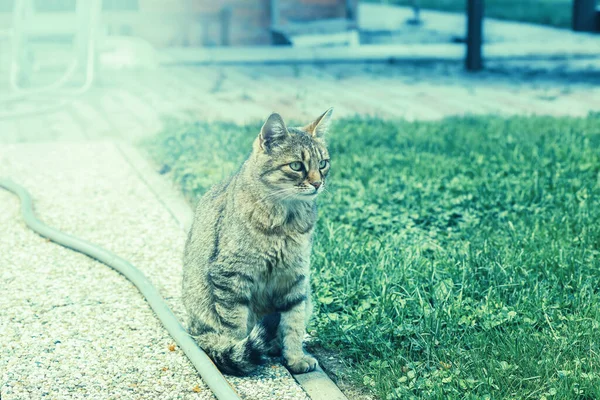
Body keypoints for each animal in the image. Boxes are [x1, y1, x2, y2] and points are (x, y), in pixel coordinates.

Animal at [183, 107, 332, 376]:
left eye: (323, 164)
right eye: (297, 166)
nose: (317, 183)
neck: (286, 219)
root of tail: (195, 333)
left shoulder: (296, 278)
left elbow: (293, 323)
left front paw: (295, 357)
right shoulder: (231, 275)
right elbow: (234, 325)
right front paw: (237, 351)